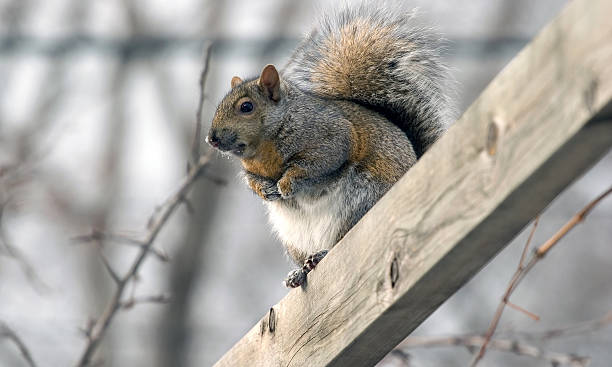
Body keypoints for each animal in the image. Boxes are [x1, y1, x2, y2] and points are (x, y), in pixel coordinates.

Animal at [208, 4, 452, 288]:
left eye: (246, 107)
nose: (211, 138)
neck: (265, 147)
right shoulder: (251, 168)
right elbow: (251, 180)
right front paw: (265, 190)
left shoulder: (330, 138)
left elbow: (317, 164)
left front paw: (287, 184)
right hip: (294, 240)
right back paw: (299, 272)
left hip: (361, 202)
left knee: (340, 241)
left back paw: (322, 254)